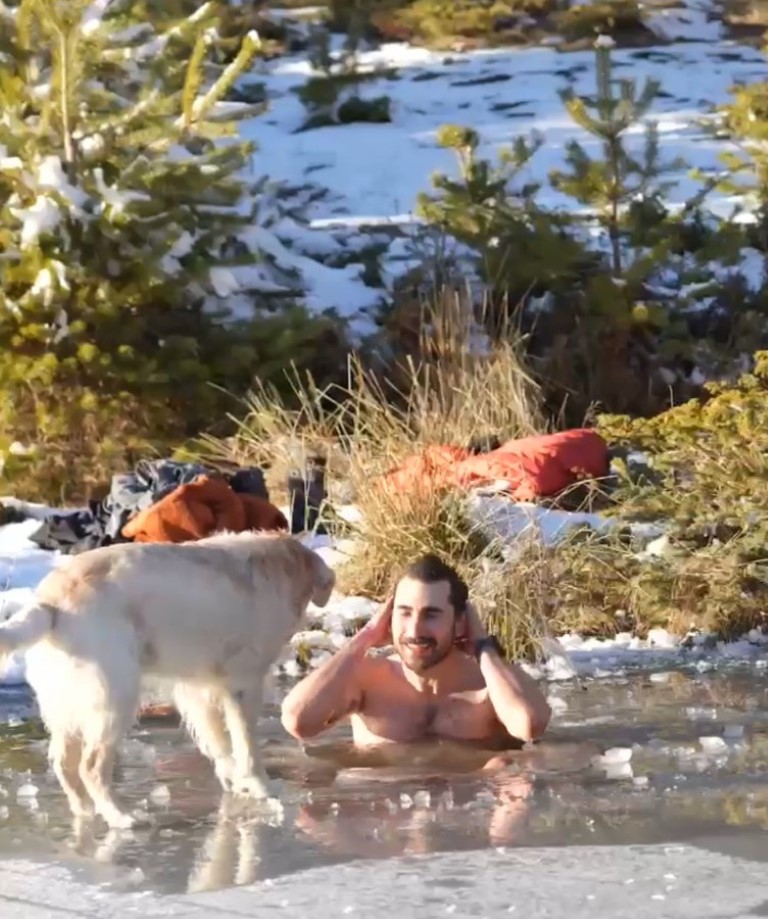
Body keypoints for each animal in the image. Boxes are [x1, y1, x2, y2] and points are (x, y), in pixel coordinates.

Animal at [0, 532, 332, 828]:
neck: (280, 564)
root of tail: (49, 603)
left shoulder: (199, 688)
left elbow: (220, 743)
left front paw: (236, 782)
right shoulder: (243, 683)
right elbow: (246, 746)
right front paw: (262, 787)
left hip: (67, 707)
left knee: (63, 762)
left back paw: (85, 811)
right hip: (116, 698)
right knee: (90, 767)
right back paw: (121, 818)